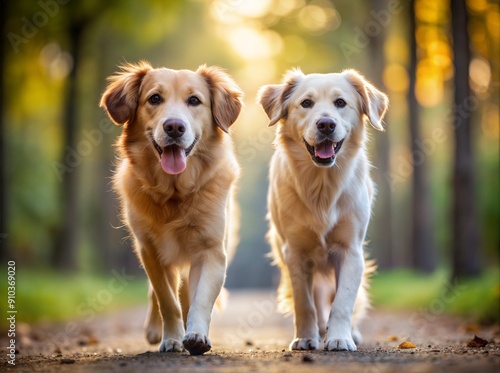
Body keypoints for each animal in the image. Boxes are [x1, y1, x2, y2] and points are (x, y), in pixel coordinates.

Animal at [99, 61, 242, 354]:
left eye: (194, 100)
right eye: (155, 98)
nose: (174, 127)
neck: (175, 194)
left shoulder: (212, 251)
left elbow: (200, 300)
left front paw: (196, 335)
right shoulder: (150, 250)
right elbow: (166, 299)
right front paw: (171, 338)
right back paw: (155, 330)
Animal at [260, 68, 388, 350]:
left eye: (340, 103)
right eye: (306, 103)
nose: (326, 124)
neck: (322, 186)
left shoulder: (350, 250)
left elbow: (343, 302)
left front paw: (340, 338)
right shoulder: (295, 253)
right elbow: (305, 304)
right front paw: (306, 338)